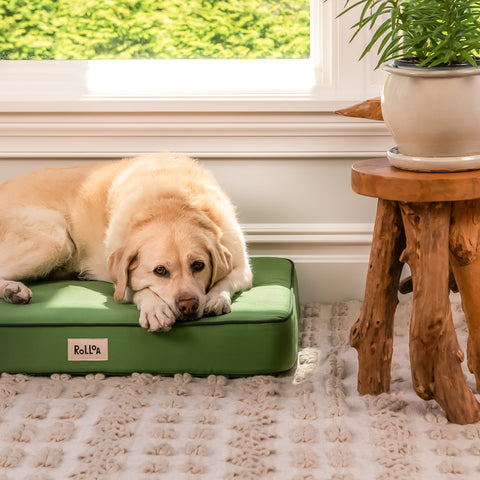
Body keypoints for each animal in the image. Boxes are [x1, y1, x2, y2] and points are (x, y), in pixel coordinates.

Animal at [0, 153, 253, 330]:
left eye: (199, 265)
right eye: (160, 271)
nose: (188, 305)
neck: (170, 203)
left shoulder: (243, 268)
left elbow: (225, 281)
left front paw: (216, 299)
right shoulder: (119, 280)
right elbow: (140, 290)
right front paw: (155, 309)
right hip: (55, 240)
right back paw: (13, 289)